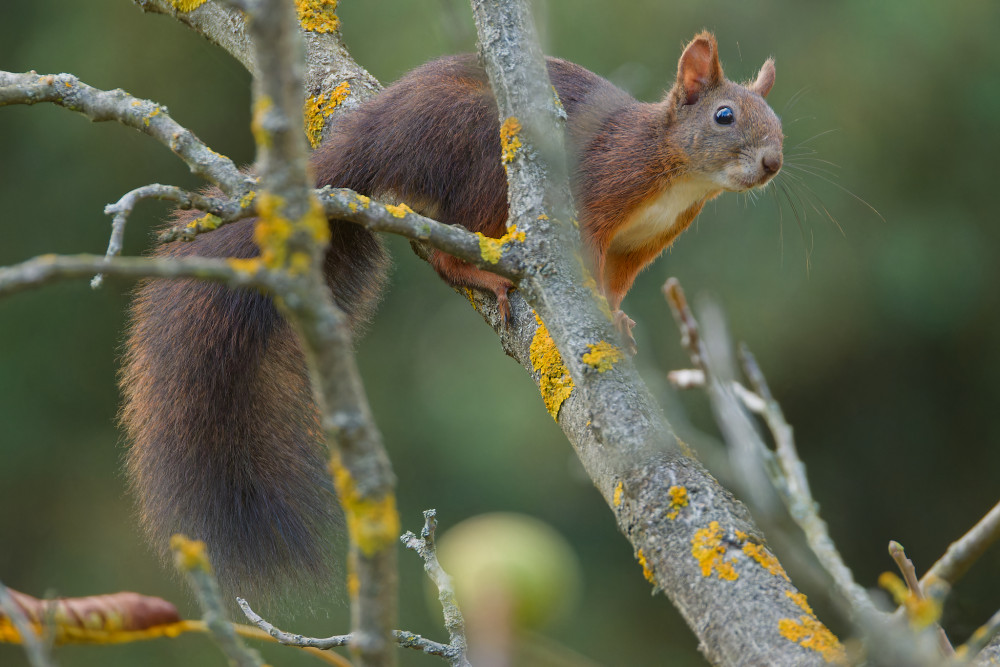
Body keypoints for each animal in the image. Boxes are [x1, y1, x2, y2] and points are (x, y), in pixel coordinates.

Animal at [121, 31, 784, 596]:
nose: (773, 163)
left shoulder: (641, 246)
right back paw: (484, 273)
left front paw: (617, 319)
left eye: (778, 122)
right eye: (725, 116)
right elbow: (587, 267)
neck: (680, 174)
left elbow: (618, 285)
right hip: (478, 159)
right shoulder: (594, 190)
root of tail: (378, 136)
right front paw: (596, 313)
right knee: (445, 252)